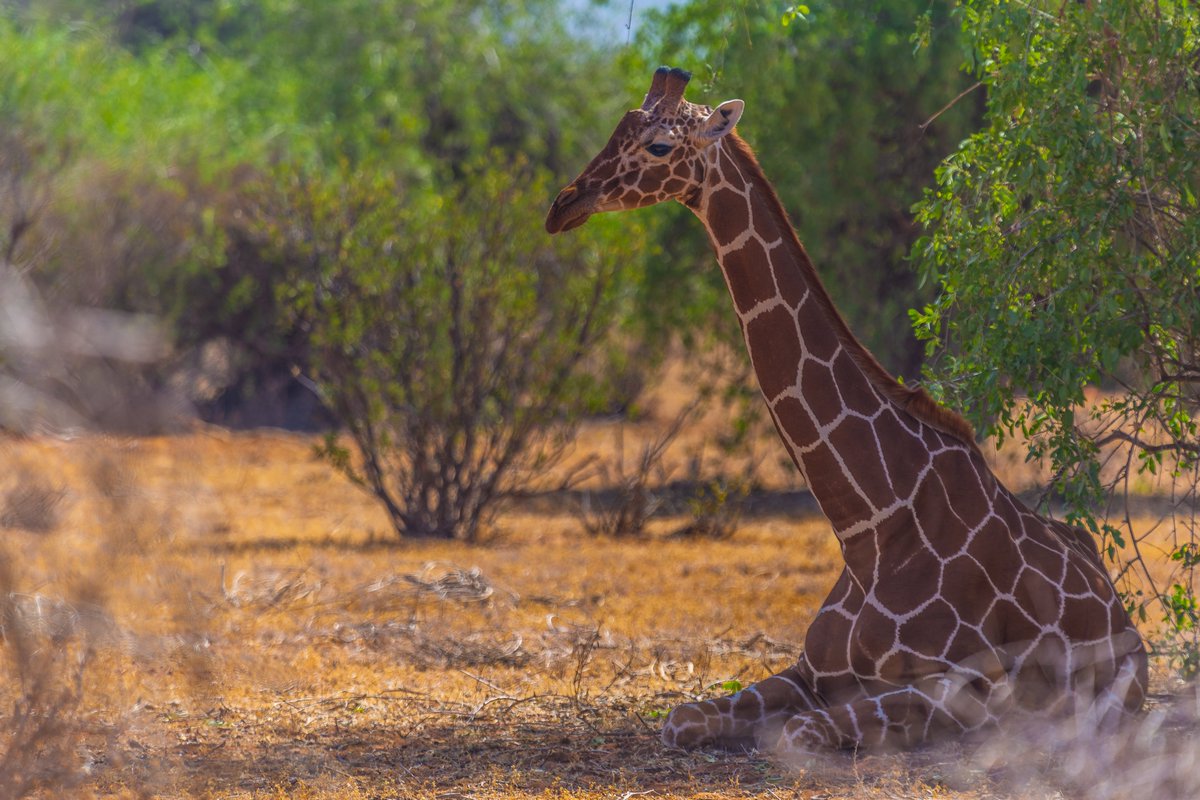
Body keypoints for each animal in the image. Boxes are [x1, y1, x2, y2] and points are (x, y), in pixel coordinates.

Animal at [545, 67, 1148, 755]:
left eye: (659, 146)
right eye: (621, 126)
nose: (563, 204)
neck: (870, 526)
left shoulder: (965, 691)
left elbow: (800, 734)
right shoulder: (810, 671)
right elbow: (682, 719)